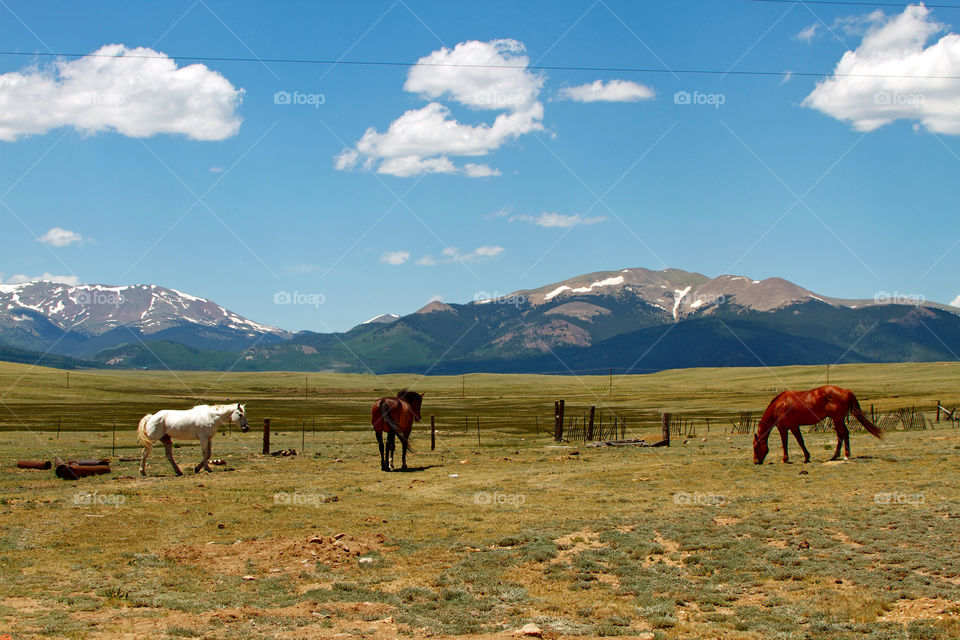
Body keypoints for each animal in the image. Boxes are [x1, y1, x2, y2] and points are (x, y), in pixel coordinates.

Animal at [752, 384, 880, 464]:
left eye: (755, 447)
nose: (756, 462)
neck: (778, 406)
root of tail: (845, 391)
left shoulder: (785, 427)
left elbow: (789, 442)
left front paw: (786, 459)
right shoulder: (793, 426)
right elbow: (799, 441)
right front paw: (806, 458)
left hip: (837, 419)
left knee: (844, 434)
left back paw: (846, 455)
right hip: (836, 419)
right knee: (841, 435)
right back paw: (835, 456)